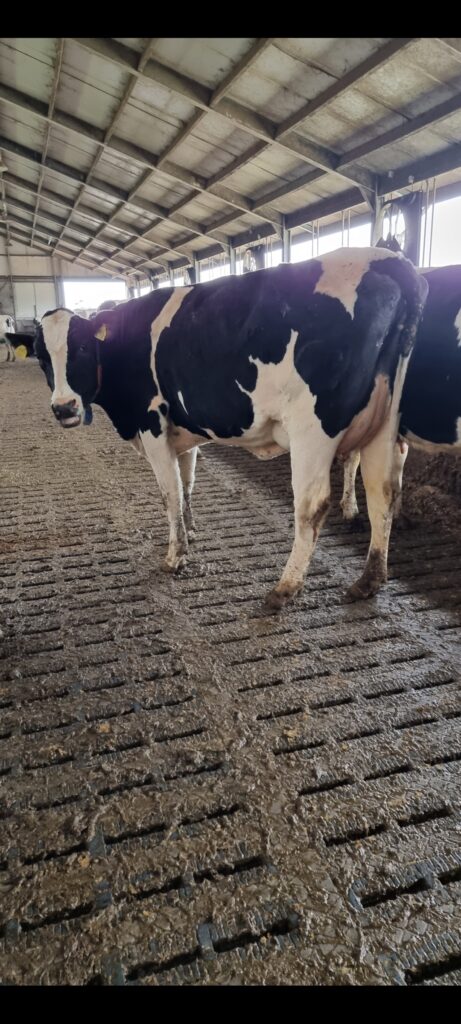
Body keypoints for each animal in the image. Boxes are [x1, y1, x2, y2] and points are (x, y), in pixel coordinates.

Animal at [34, 247, 427, 608]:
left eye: (82, 348)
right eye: (41, 356)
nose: (64, 408)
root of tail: (386, 258)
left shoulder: (152, 423)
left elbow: (169, 493)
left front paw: (175, 556)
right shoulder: (181, 431)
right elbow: (187, 484)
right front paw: (190, 531)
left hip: (313, 428)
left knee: (313, 504)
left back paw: (286, 586)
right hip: (384, 426)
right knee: (382, 494)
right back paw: (370, 580)